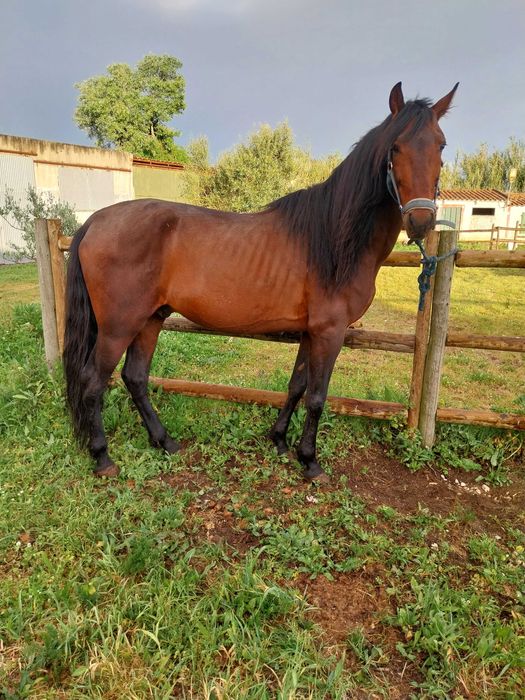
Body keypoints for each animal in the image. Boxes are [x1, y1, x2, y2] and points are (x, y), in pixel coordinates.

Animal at [63, 81, 458, 481]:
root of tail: (95, 221)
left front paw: (280, 441)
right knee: (93, 382)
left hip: (150, 319)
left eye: (441, 145)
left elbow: (296, 386)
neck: (331, 238)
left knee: (135, 378)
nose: (421, 221)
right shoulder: (330, 332)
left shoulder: (310, 332)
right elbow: (317, 397)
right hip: (119, 326)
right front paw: (310, 460)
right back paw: (102, 457)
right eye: (395, 147)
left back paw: (165, 441)